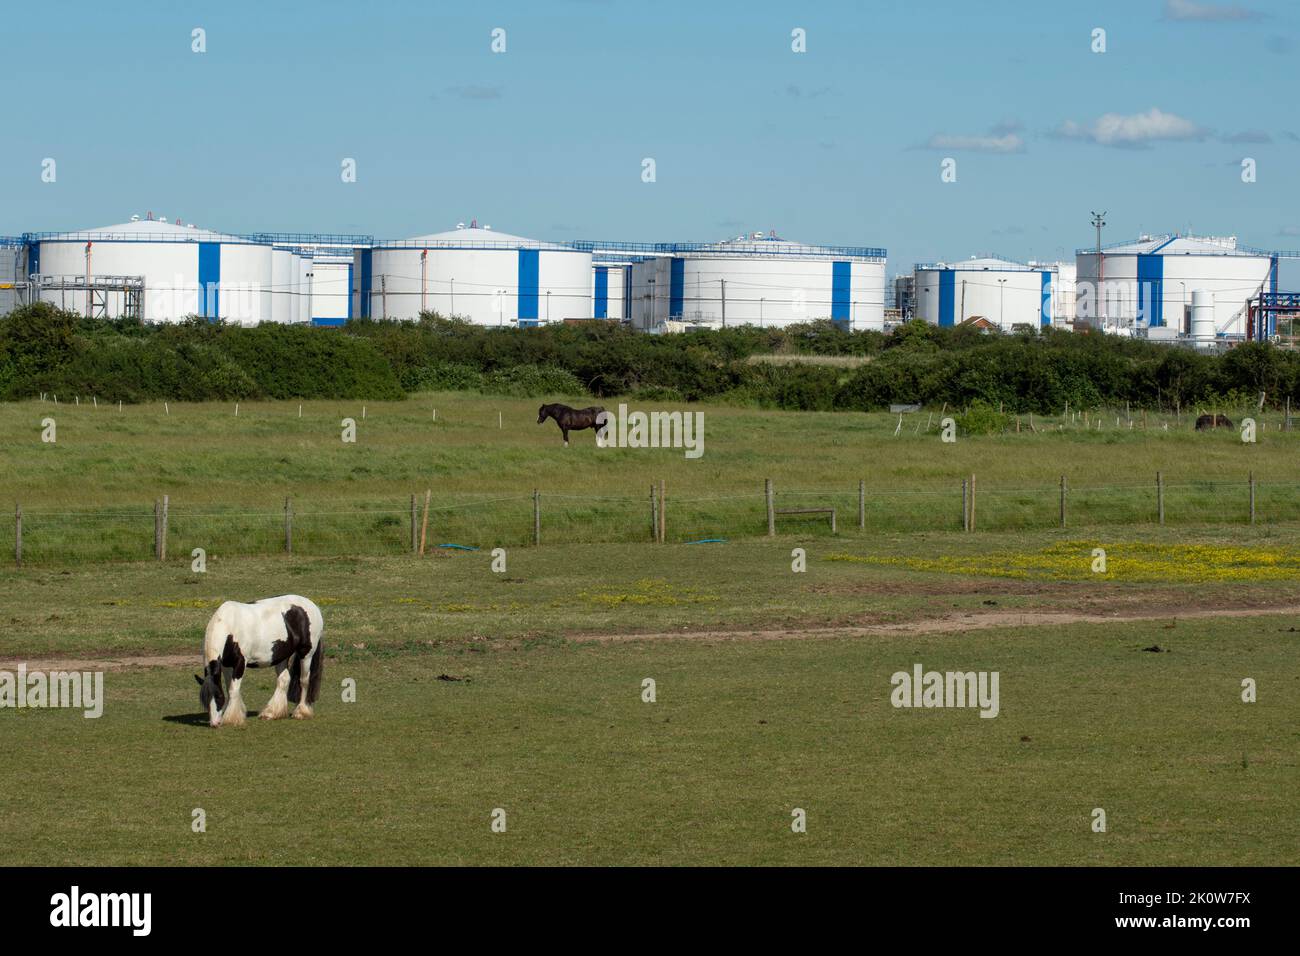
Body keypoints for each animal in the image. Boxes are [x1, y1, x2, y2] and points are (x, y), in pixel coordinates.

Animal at [195, 595, 325, 728]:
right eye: (205, 700)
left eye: (218, 697)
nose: (214, 723)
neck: (229, 626)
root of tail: (312, 605)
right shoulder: (226, 664)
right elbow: (229, 688)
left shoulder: (240, 663)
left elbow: (233, 689)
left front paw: (232, 719)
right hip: (281, 656)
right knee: (284, 679)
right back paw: (271, 713)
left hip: (306, 654)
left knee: (304, 681)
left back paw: (301, 712)